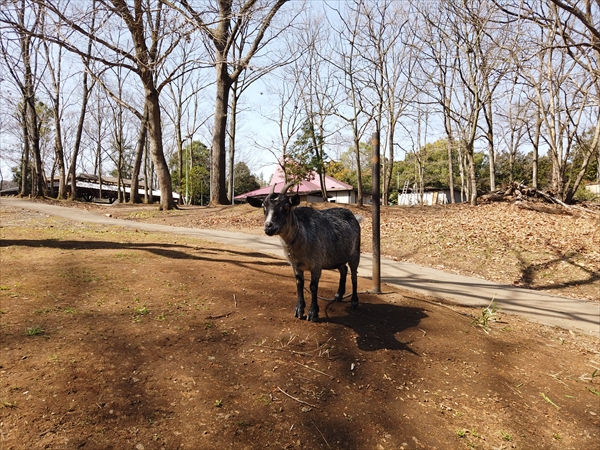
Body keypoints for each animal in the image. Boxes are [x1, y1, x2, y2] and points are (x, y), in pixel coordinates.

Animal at [247, 181, 360, 322]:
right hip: (338, 256)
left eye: (286, 207)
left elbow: (313, 286)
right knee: (343, 269)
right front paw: (299, 309)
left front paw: (313, 312)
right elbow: (299, 283)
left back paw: (354, 301)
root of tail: (353, 216)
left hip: (355, 253)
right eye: (263, 207)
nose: (268, 227)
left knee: (354, 275)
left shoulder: (316, 264)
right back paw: (339, 295)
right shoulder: (296, 265)